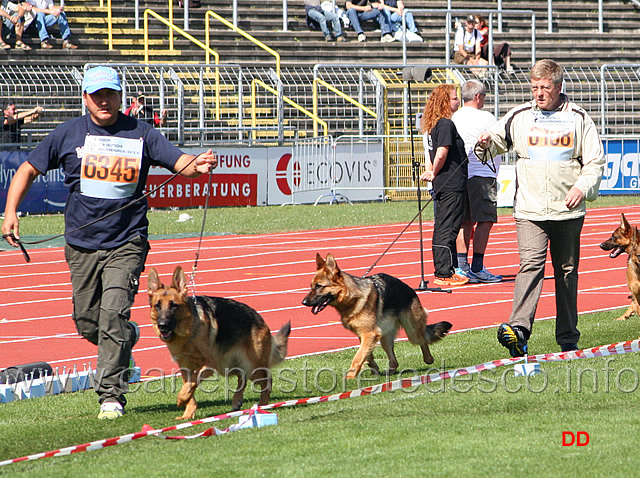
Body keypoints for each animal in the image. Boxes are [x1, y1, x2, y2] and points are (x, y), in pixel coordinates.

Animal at [148, 266, 290, 418]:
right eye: (157, 306)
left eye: (173, 305)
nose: (162, 326)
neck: (188, 334)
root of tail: (259, 317)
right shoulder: (185, 367)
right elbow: (190, 385)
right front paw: (188, 412)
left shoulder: (209, 364)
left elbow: (193, 380)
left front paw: (181, 398)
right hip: (228, 365)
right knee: (242, 376)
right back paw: (237, 400)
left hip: (251, 366)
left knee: (267, 381)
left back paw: (262, 405)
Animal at [302, 252, 452, 380]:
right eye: (311, 286)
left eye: (318, 286)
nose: (303, 302)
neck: (352, 297)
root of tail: (409, 289)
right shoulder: (365, 335)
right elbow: (366, 355)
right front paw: (373, 368)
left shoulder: (369, 334)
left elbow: (358, 357)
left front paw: (350, 376)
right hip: (385, 338)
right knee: (394, 361)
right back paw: (389, 372)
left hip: (412, 332)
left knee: (423, 341)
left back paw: (429, 359)